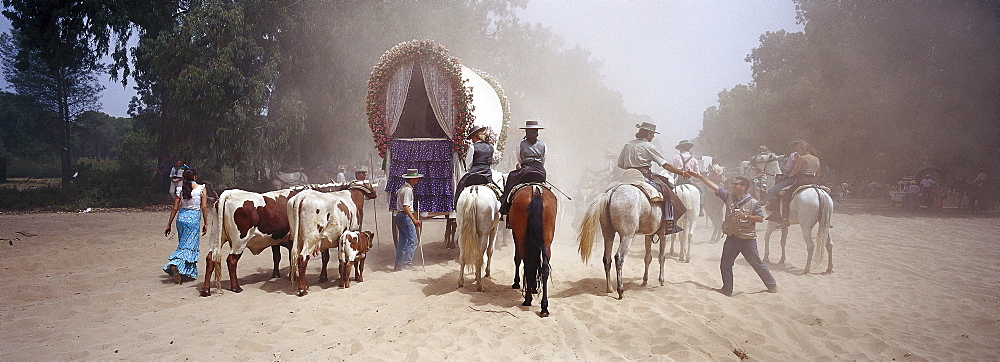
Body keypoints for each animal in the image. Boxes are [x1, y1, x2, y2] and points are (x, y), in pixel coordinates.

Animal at [508, 184, 556, 316]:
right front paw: (534, 287)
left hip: (521, 236)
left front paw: (516, 282)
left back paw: (528, 299)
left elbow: (517, 259)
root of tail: (536, 191)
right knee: (544, 268)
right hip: (547, 240)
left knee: (527, 264)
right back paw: (544, 307)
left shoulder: (516, 235)